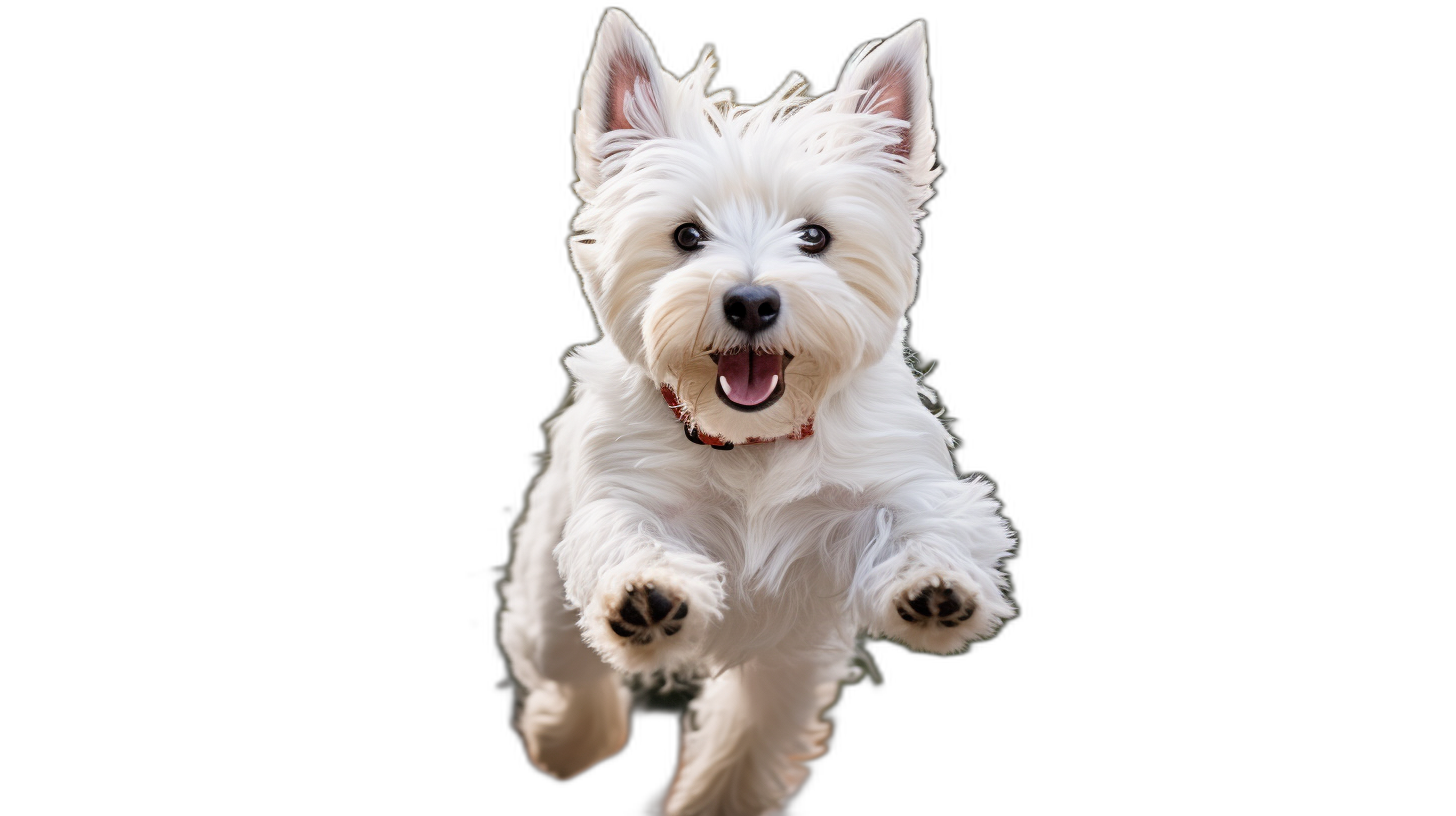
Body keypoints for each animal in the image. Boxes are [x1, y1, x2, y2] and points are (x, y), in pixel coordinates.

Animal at [495, 9, 1019, 810]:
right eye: (686, 235)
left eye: (814, 236)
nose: (750, 301)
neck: (752, 440)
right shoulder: (620, 495)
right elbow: (628, 535)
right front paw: (645, 596)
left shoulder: (875, 495)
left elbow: (929, 516)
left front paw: (936, 587)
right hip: (546, 590)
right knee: (565, 661)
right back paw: (571, 739)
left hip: (790, 658)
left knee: (757, 721)